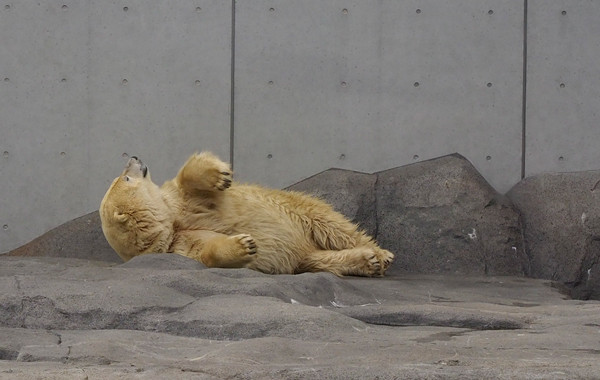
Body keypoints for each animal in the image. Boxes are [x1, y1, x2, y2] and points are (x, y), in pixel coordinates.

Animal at [99, 151, 394, 276]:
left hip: (294, 209)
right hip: (302, 254)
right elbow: (208, 251)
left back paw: (381, 254)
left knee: (331, 225)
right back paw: (368, 261)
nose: (134, 157)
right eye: (125, 178)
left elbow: (189, 179)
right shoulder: (181, 245)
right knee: (317, 260)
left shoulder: (183, 201)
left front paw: (220, 175)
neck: (173, 224)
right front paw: (244, 245)